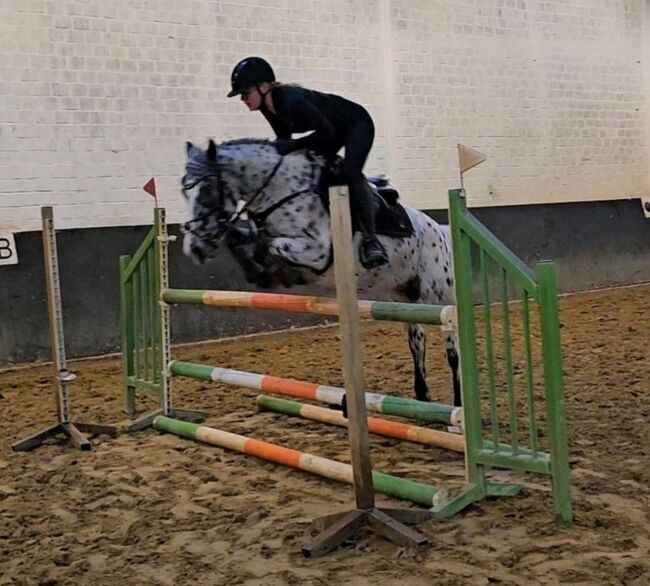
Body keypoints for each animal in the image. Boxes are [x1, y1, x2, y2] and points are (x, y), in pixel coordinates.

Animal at [180, 140, 458, 406]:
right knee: (417, 343)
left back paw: (456, 402)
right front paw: (261, 270)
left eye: (206, 190)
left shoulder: (316, 252)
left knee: (453, 350)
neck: (281, 194)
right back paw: (422, 397)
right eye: (184, 191)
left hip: (440, 300)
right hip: (405, 298)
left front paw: (270, 269)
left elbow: (272, 245)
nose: (194, 248)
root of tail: (439, 229)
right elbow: (242, 239)